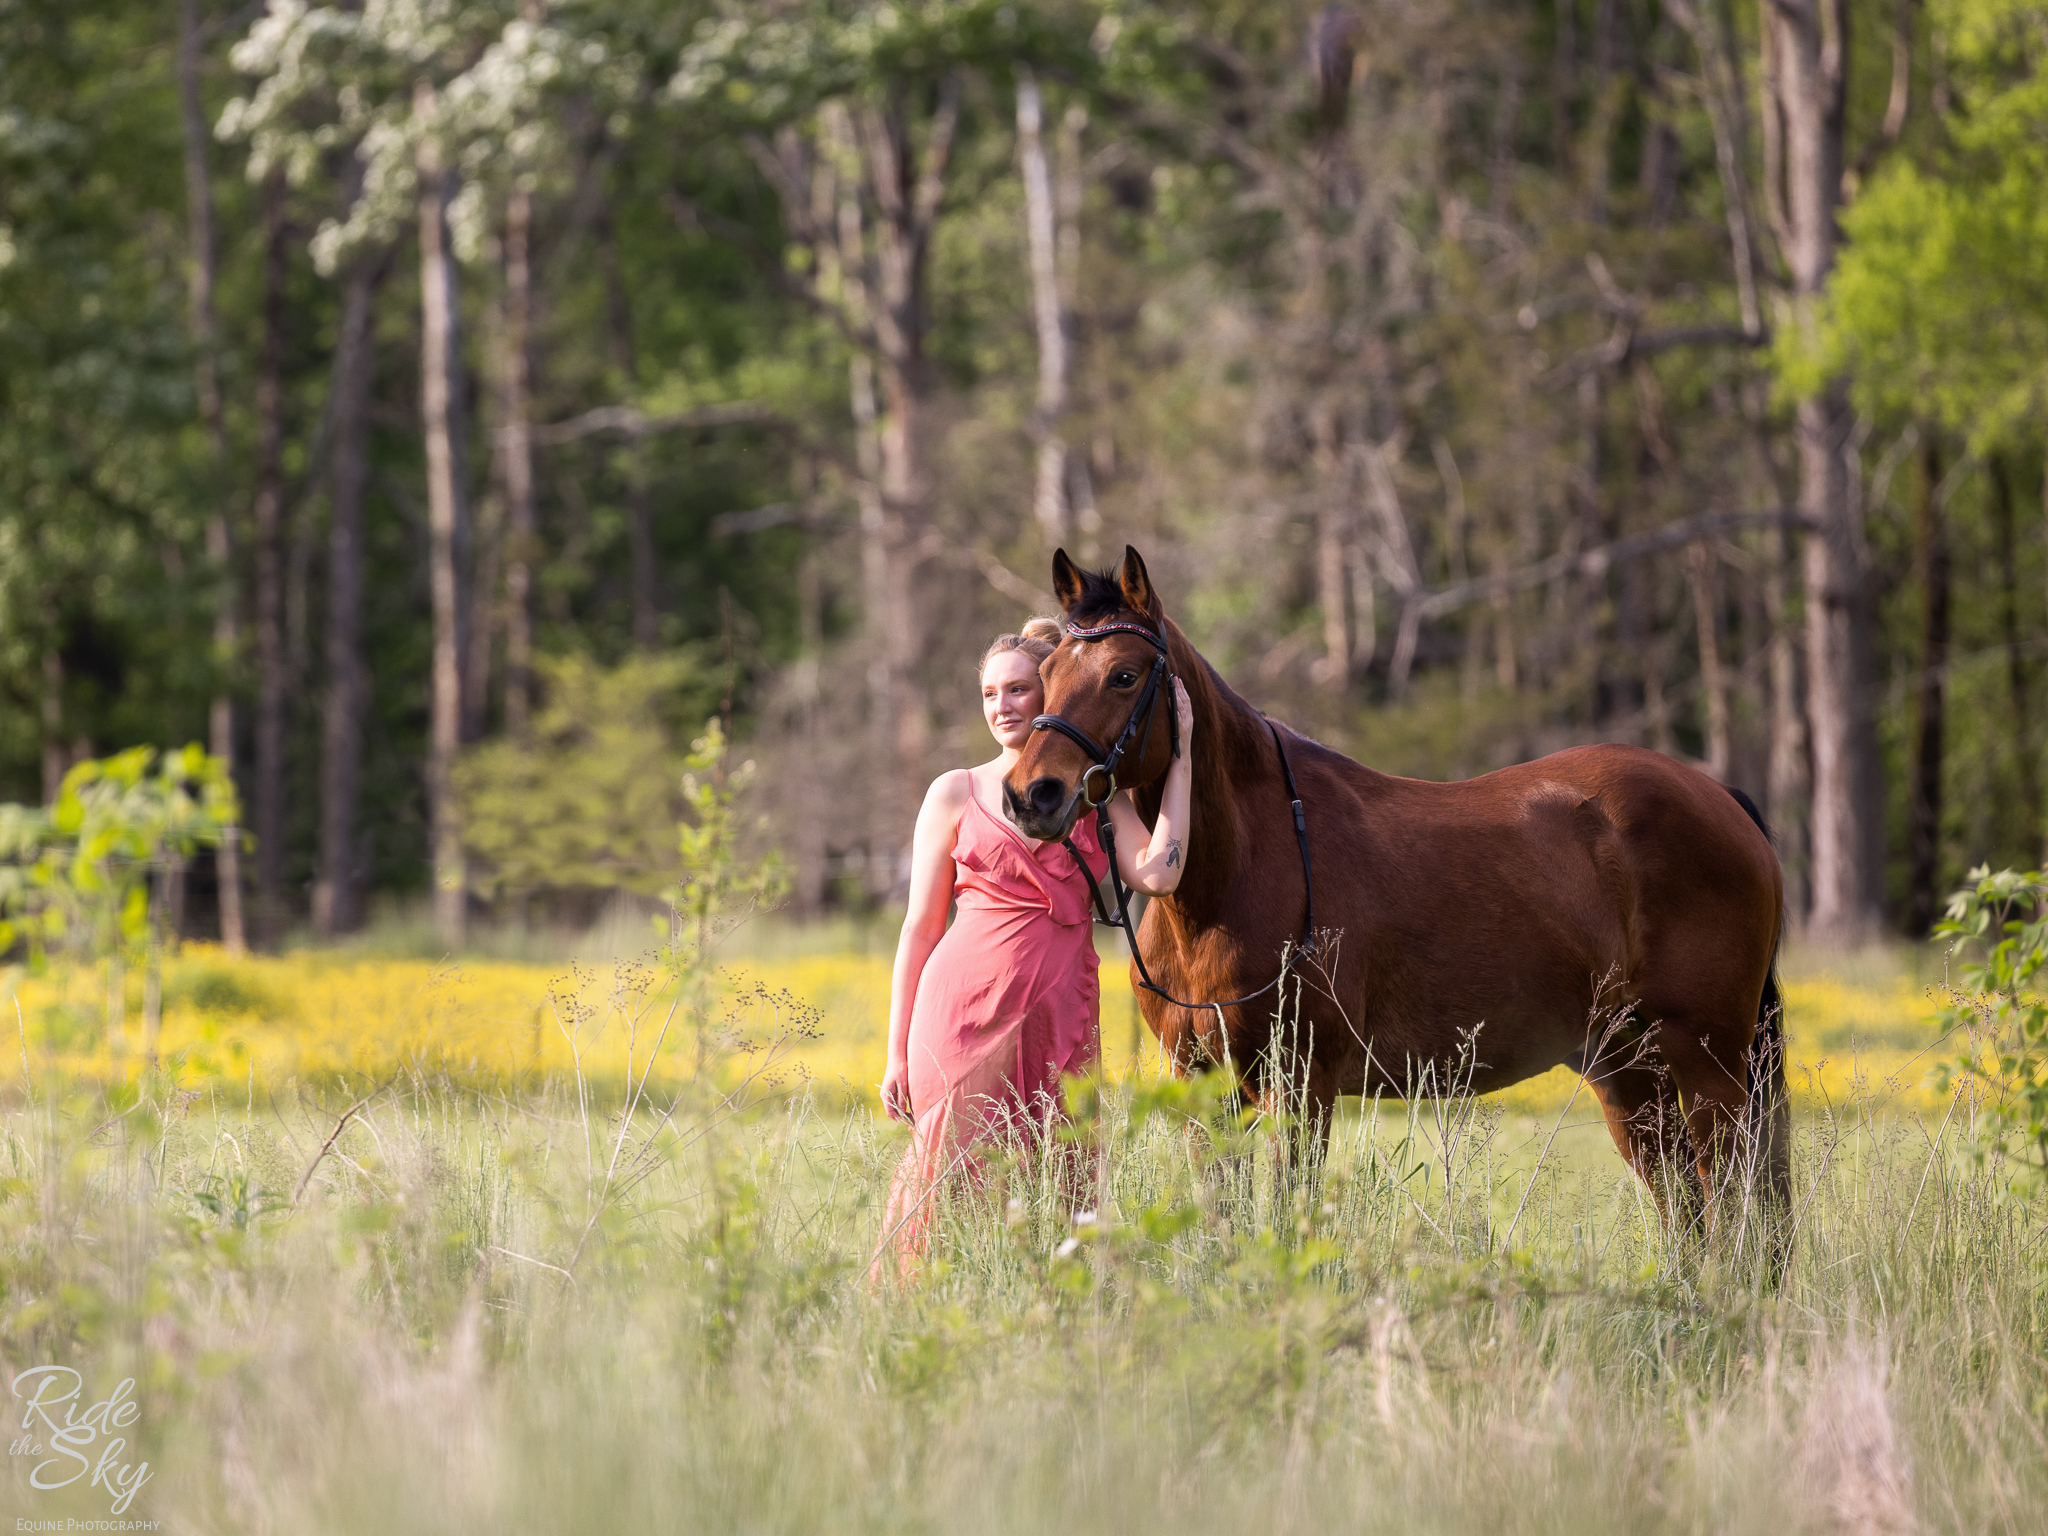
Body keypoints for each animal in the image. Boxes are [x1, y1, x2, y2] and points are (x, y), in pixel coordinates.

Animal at [1007, 548, 1794, 1245]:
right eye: (1044, 673)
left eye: (1123, 675)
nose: (1030, 795)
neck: (1230, 876)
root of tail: (1719, 795)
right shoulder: (1206, 1091)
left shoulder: (1303, 1089)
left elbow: (1287, 1220)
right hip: (1629, 1072)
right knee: (1686, 1207)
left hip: (1709, 1068)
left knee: (1735, 1206)